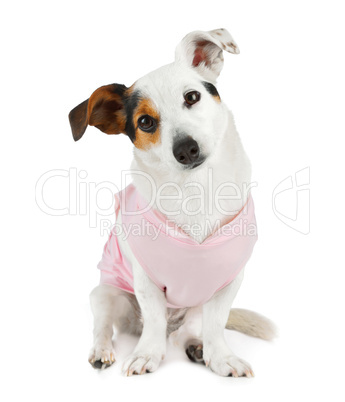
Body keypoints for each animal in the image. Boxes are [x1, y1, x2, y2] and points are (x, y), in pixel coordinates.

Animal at [68, 28, 276, 376]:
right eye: (145, 122)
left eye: (192, 97)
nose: (186, 149)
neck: (195, 192)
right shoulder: (145, 281)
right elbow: (153, 318)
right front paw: (147, 354)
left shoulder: (229, 281)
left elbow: (216, 323)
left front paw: (221, 357)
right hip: (105, 293)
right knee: (104, 326)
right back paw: (102, 350)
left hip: (193, 307)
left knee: (191, 329)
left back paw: (197, 347)